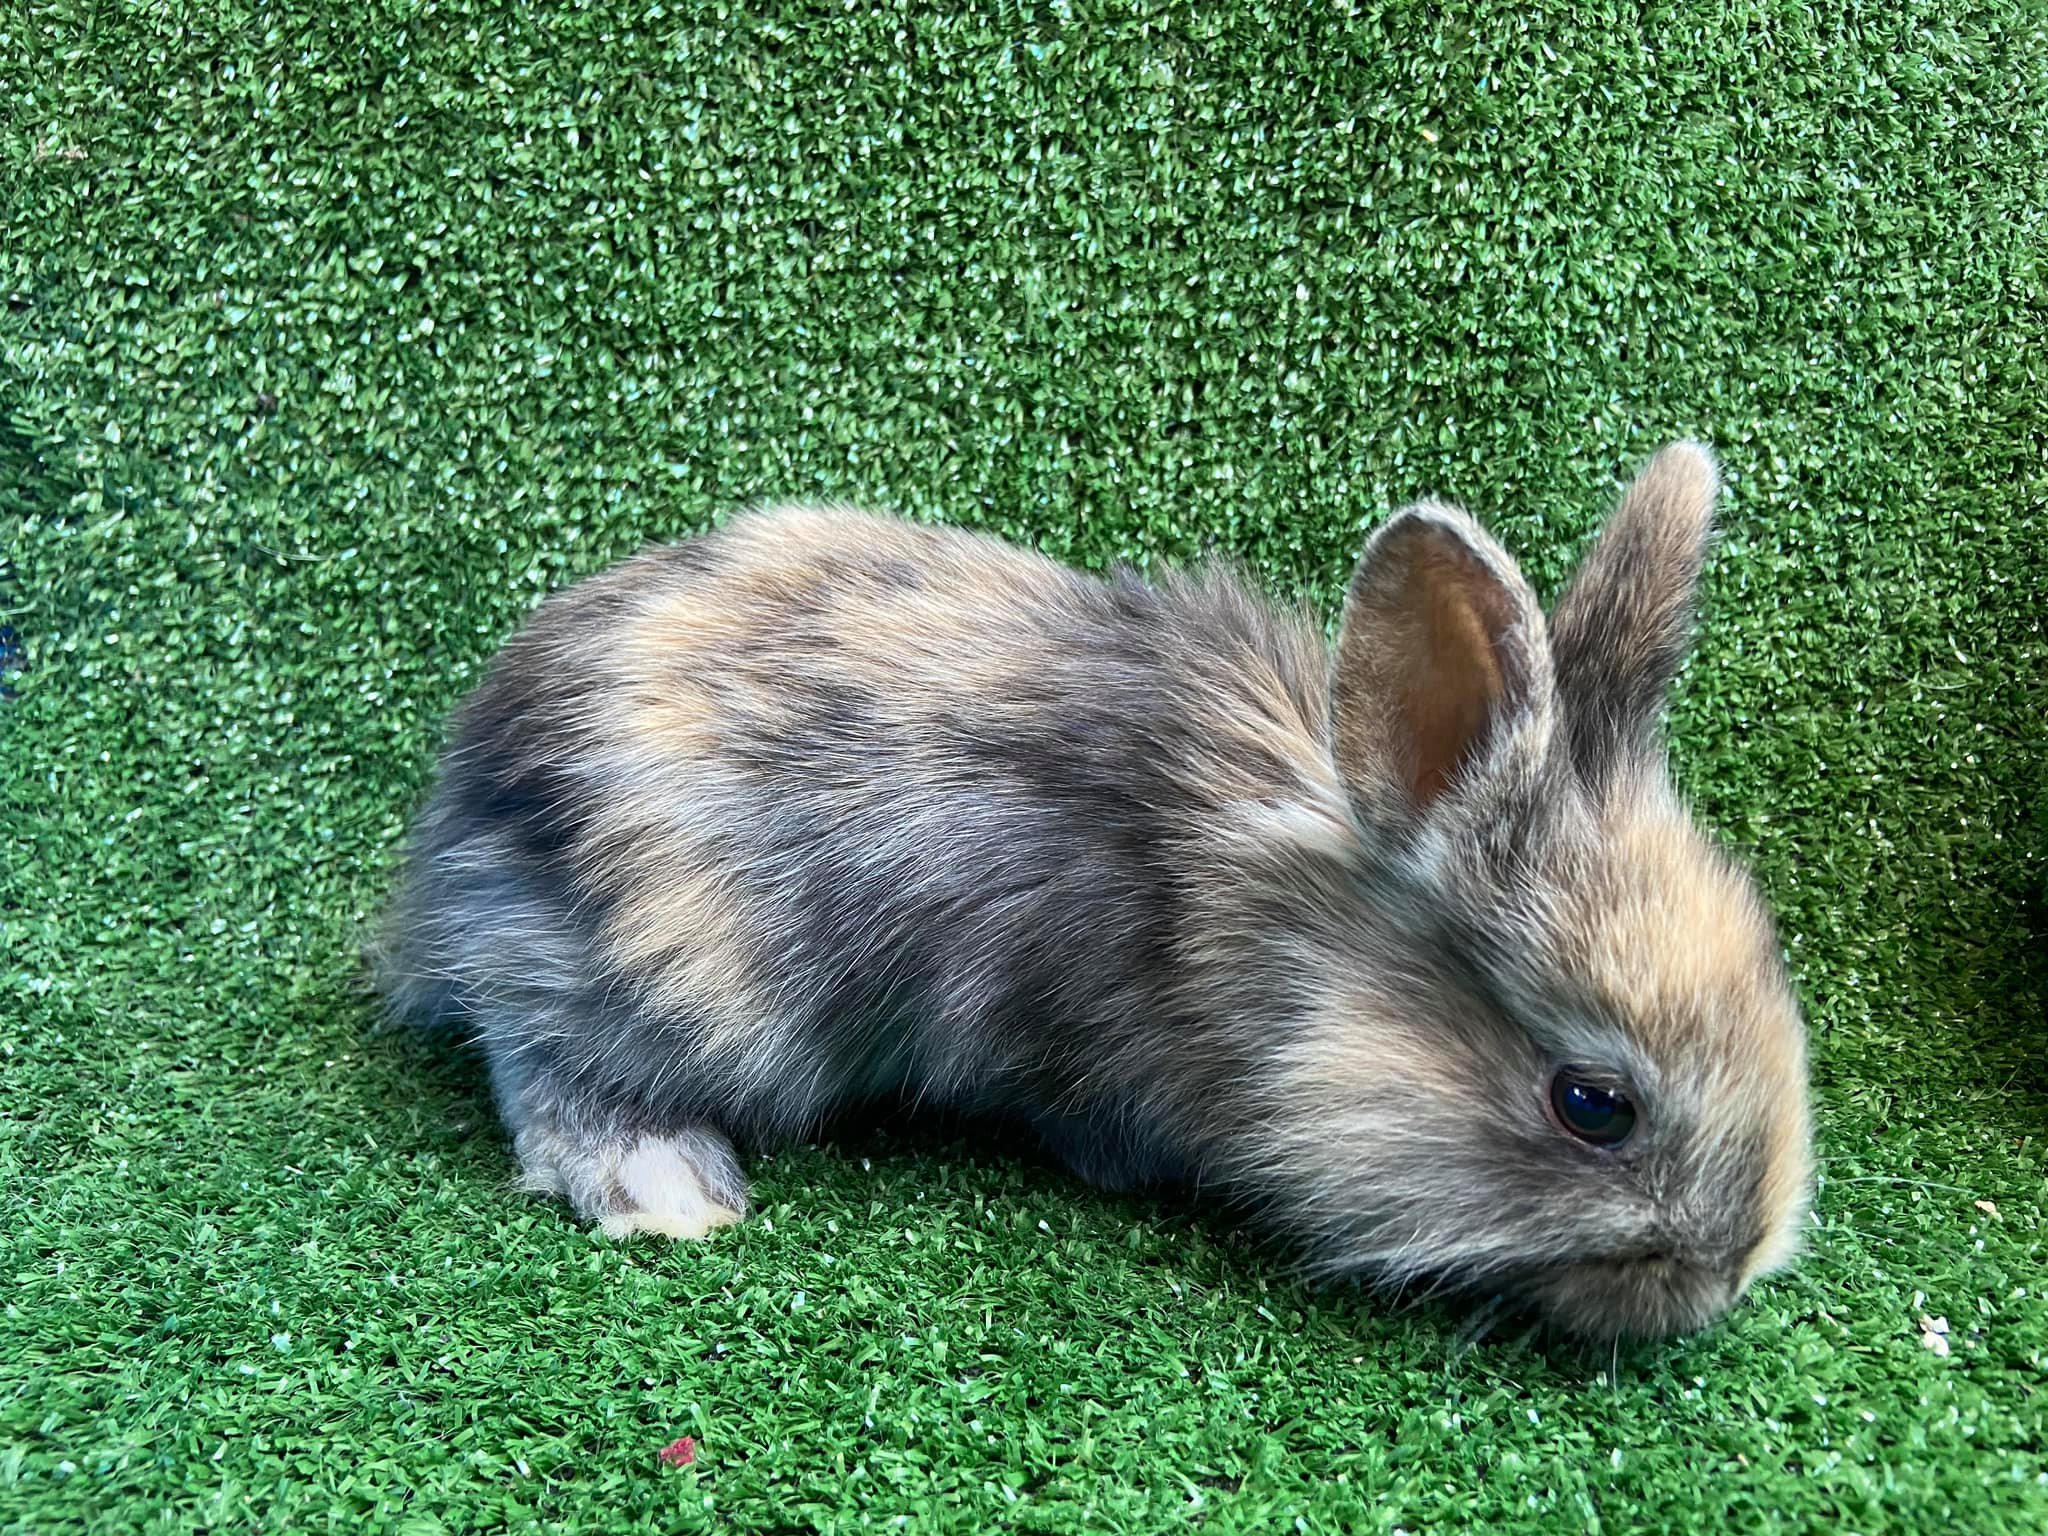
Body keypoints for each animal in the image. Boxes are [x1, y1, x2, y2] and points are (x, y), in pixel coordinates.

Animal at [373, 441, 1812, 1341]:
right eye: (1592, 1107)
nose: (1729, 1271)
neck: (1256, 939)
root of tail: (459, 814)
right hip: (665, 974)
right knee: (536, 1050)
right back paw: (663, 1189)